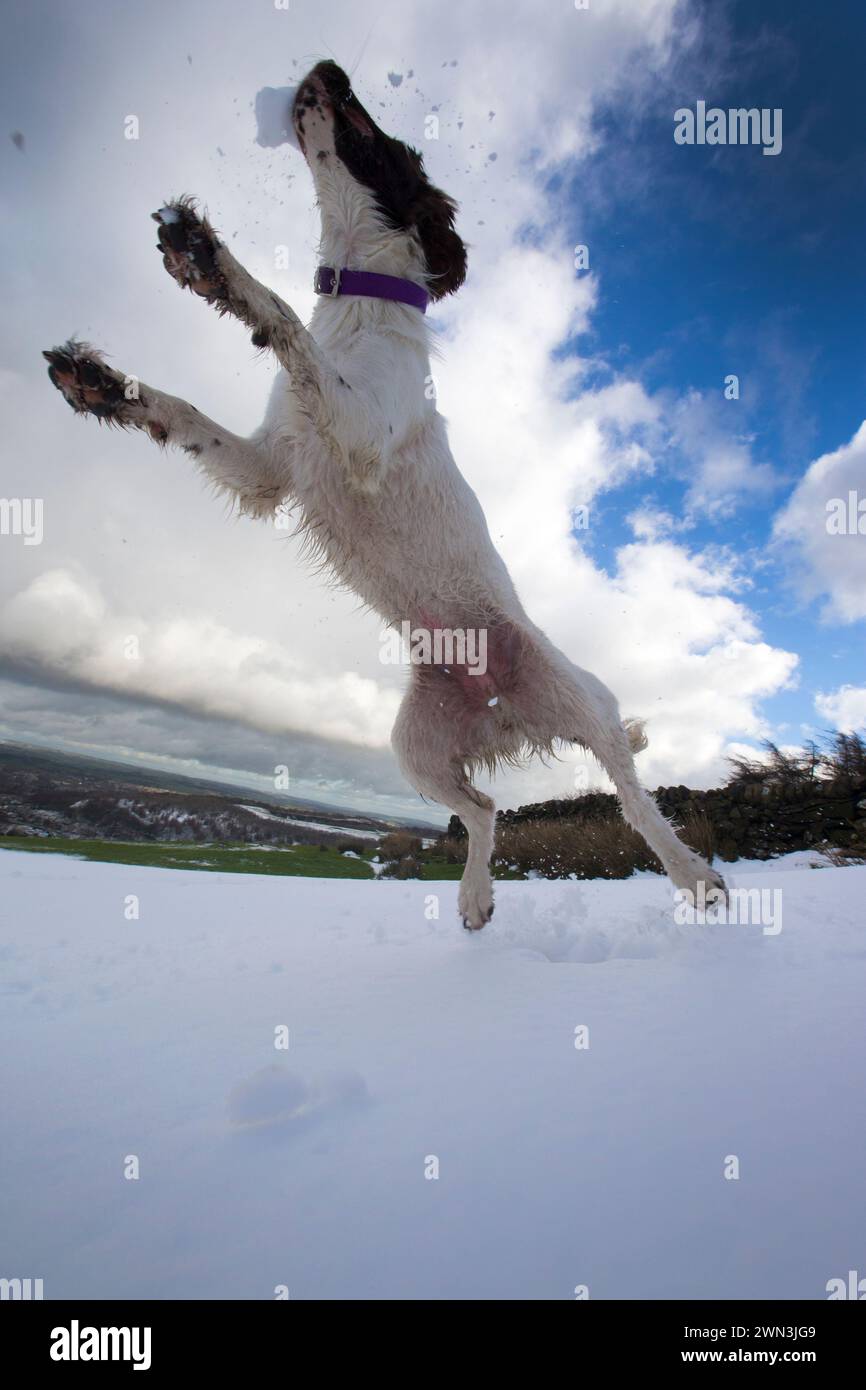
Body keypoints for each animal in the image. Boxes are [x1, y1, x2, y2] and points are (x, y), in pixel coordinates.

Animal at [45, 67, 722, 934]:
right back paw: (473, 897)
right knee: (484, 810)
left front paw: (212, 260)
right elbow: (186, 413)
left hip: (583, 703)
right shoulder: (269, 468)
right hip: (418, 749)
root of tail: (501, 703)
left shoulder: (360, 435)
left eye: (393, 143)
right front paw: (100, 382)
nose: (329, 70)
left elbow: (284, 317)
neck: (360, 306)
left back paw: (696, 876)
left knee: (635, 799)